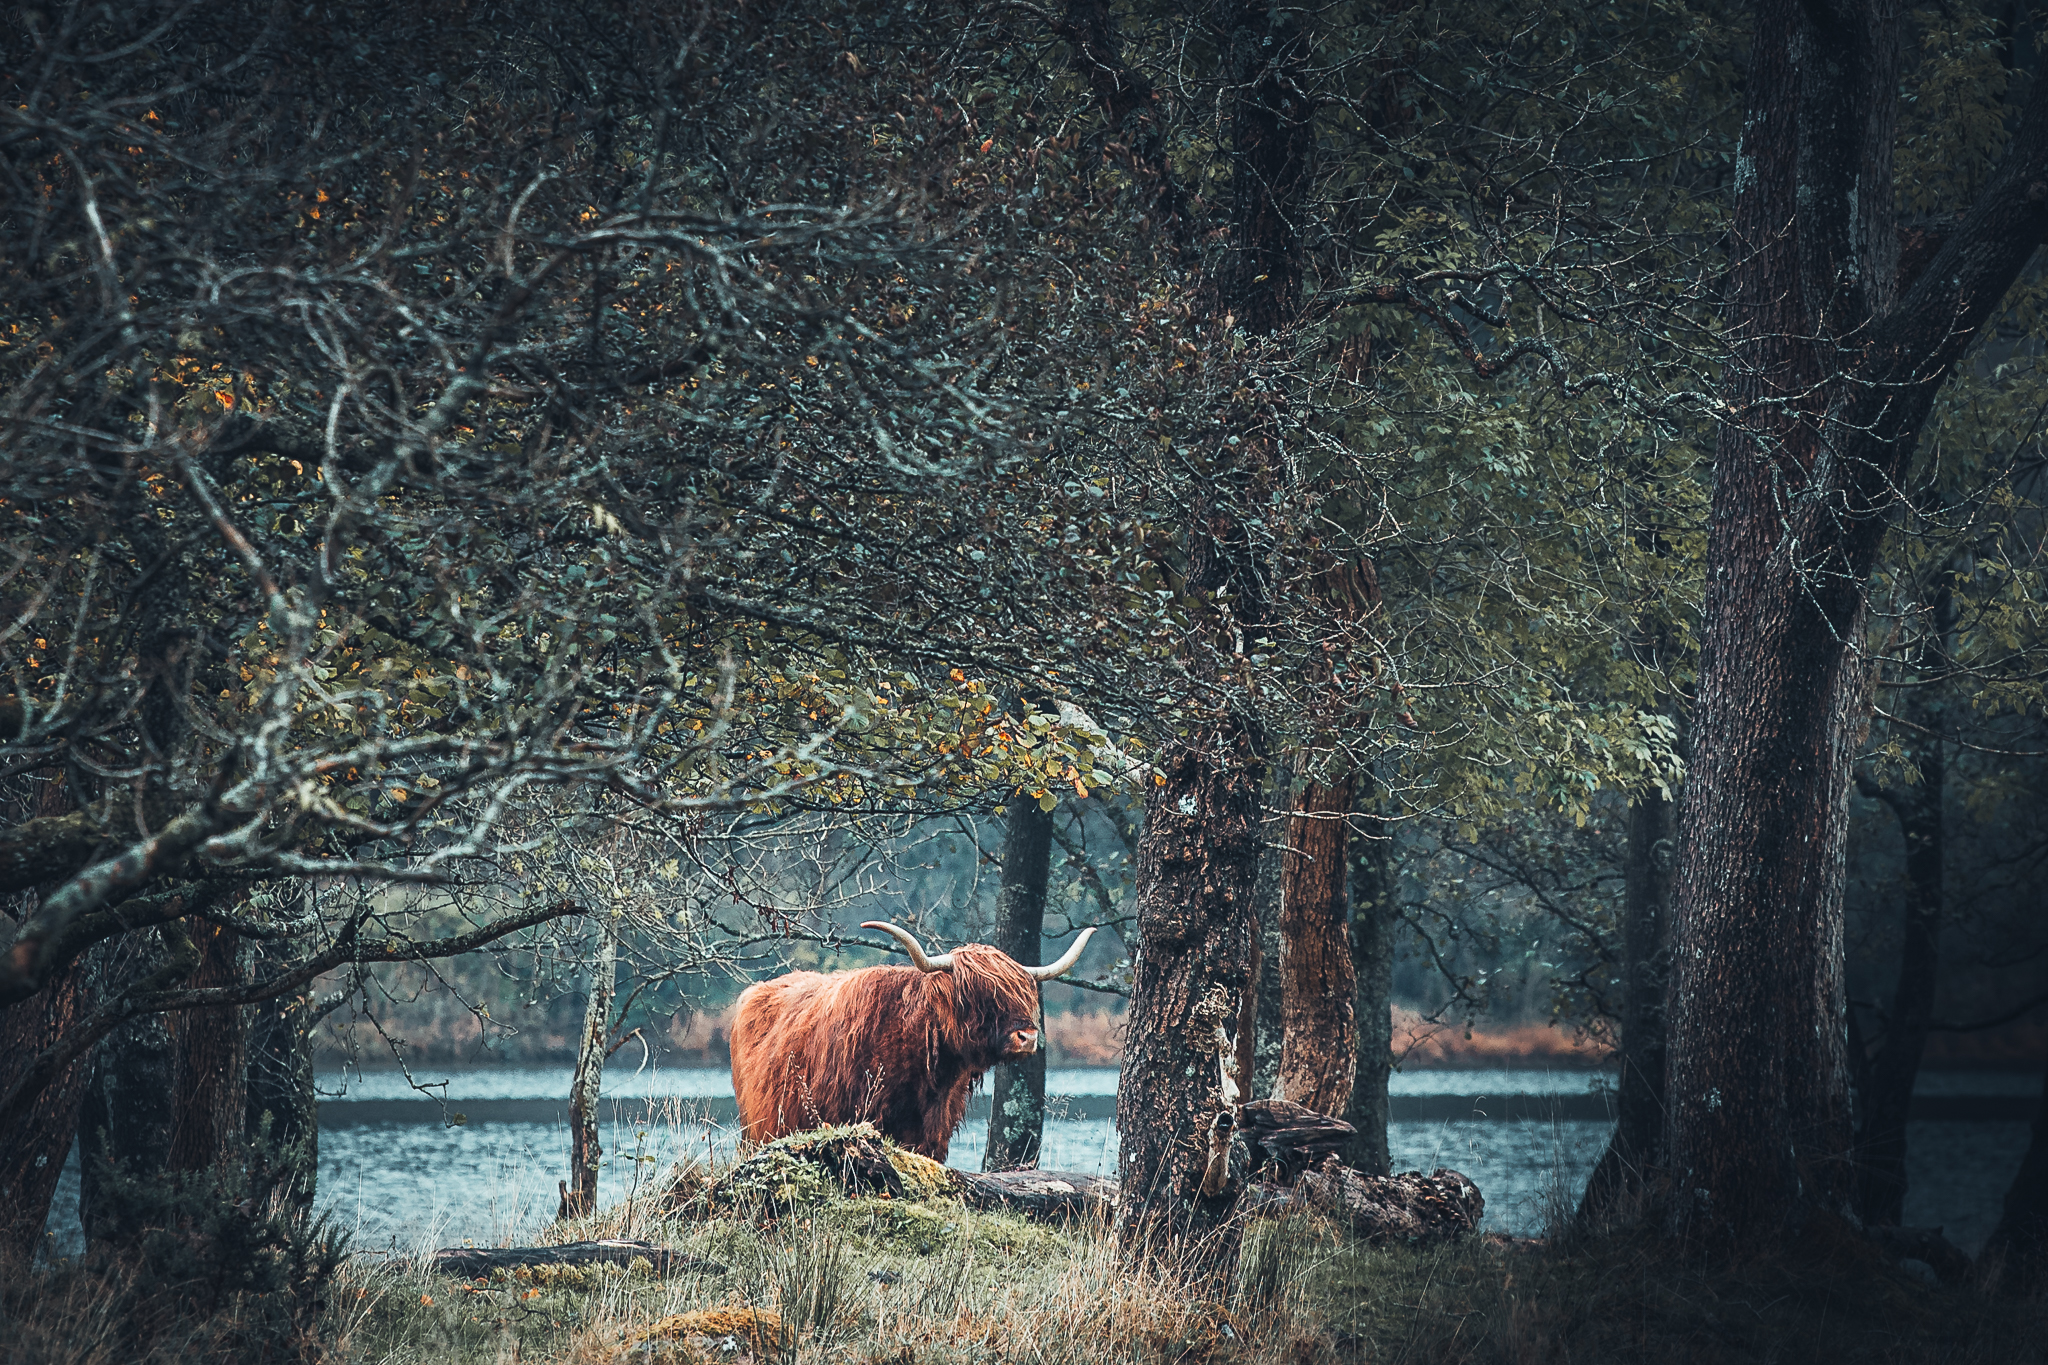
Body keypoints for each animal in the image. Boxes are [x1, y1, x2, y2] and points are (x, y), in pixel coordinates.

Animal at [729, 916, 1097, 1162]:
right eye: (977, 995)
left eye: (1025, 993)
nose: (1028, 1036)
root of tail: (754, 991)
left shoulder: (933, 1137)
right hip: (757, 1129)